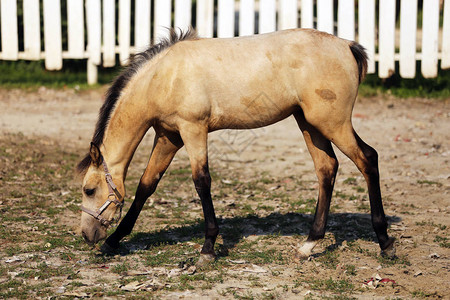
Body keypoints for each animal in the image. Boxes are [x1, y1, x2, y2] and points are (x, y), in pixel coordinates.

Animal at [77, 28, 394, 264]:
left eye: (89, 190)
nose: (86, 235)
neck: (164, 77)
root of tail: (347, 46)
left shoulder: (193, 130)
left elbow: (201, 181)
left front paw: (207, 249)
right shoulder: (169, 136)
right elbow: (147, 184)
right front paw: (114, 240)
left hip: (332, 123)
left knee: (368, 159)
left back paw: (385, 242)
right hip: (309, 123)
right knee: (327, 168)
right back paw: (309, 244)